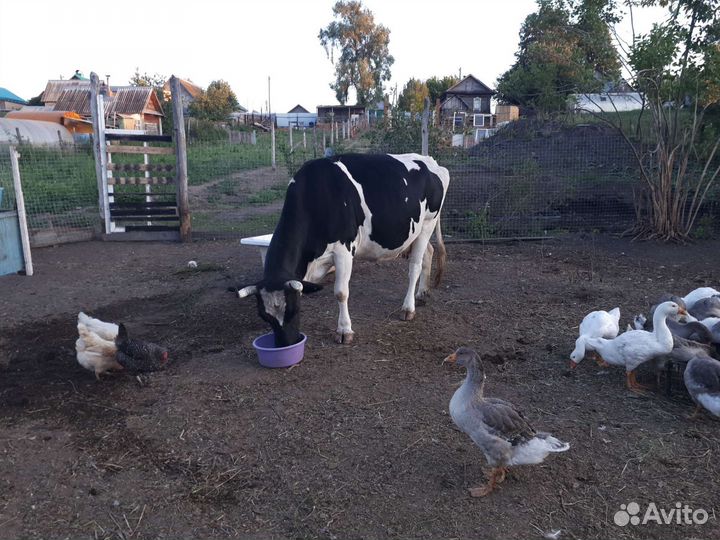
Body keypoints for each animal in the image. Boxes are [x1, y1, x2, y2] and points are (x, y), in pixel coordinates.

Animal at [236, 153, 449, 347]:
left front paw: (344, 331)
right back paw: (422, 293)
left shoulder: (343, 250)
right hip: (417, 231)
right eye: (264, 316)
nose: (285, 344)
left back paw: (408, 308)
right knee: (429, 252)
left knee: (415, 265)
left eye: (294, 310)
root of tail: (431, 161)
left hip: (428, 223)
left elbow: (340, 292)